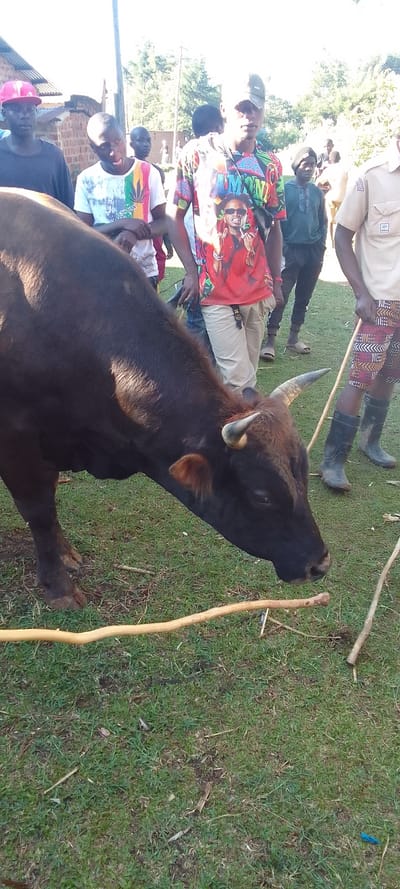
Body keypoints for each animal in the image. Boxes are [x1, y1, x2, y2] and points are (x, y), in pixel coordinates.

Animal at [0, 188, 330, 609]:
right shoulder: (17, 441)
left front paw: (65, 553)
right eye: (261, 495)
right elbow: (39, 510)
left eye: (303, 473)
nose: (318, 563)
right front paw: (58, 586)